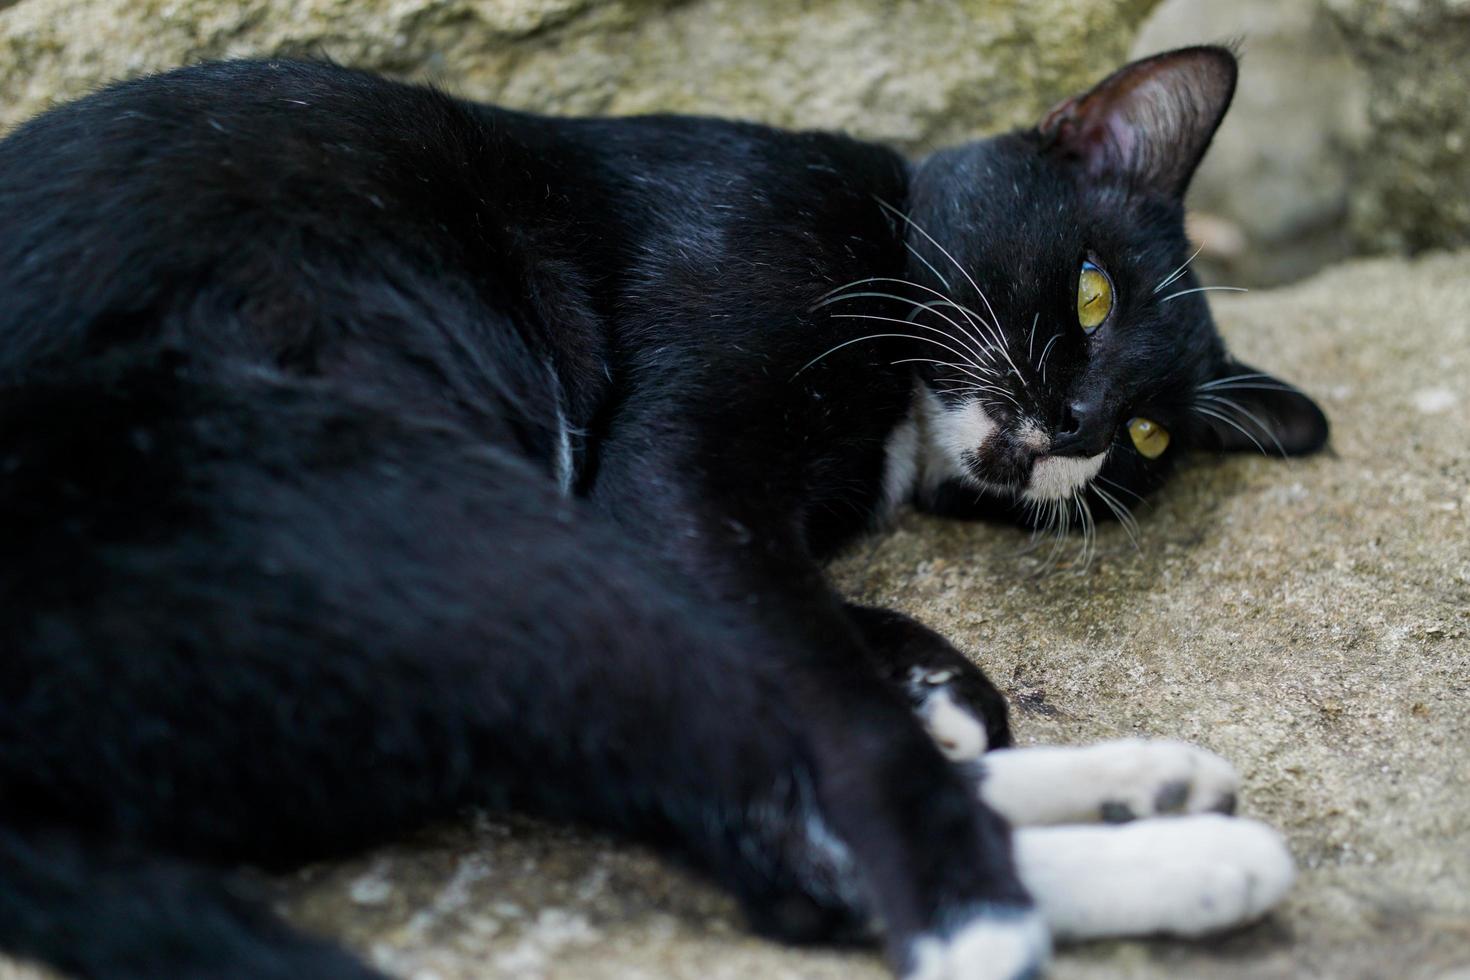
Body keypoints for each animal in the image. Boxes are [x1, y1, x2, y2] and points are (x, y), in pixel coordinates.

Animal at [0, 45, 1328, 980]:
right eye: (1094, 292)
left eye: (1147, 439)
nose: (1081, 423)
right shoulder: (676, 458)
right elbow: (820, 685)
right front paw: (936, 739)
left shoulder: (697, 515)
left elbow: (796, 637)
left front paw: (943, 686)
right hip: (440, 525)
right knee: (768, 827)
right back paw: (1115, 875)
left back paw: (1145, 787)